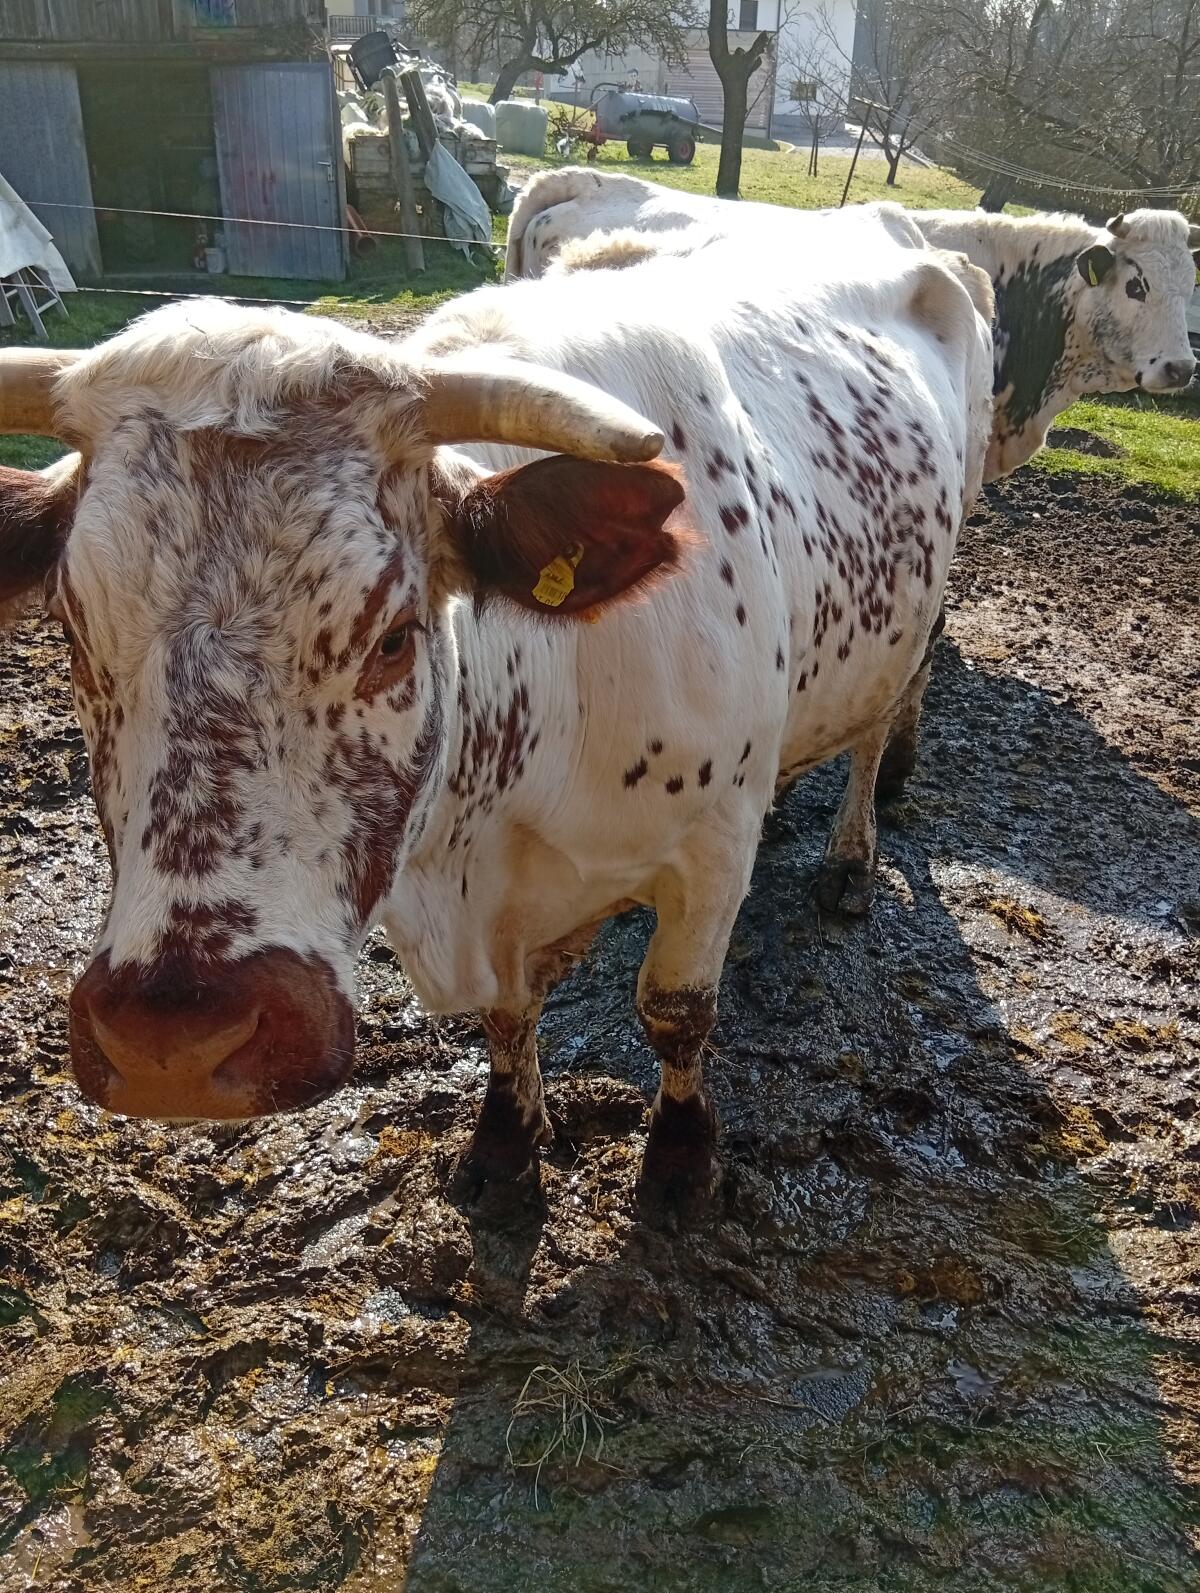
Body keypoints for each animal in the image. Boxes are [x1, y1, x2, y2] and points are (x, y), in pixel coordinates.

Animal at [0, 230, 993, 1211]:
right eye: (72, 631)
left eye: (395, 635)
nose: (171, 1043)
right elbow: (508, 1015)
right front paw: (507, 1139)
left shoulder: (709, 854)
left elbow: (676, 1012)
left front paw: (680, 1160)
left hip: (924, 600)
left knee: (882, 719)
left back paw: (852, 854)